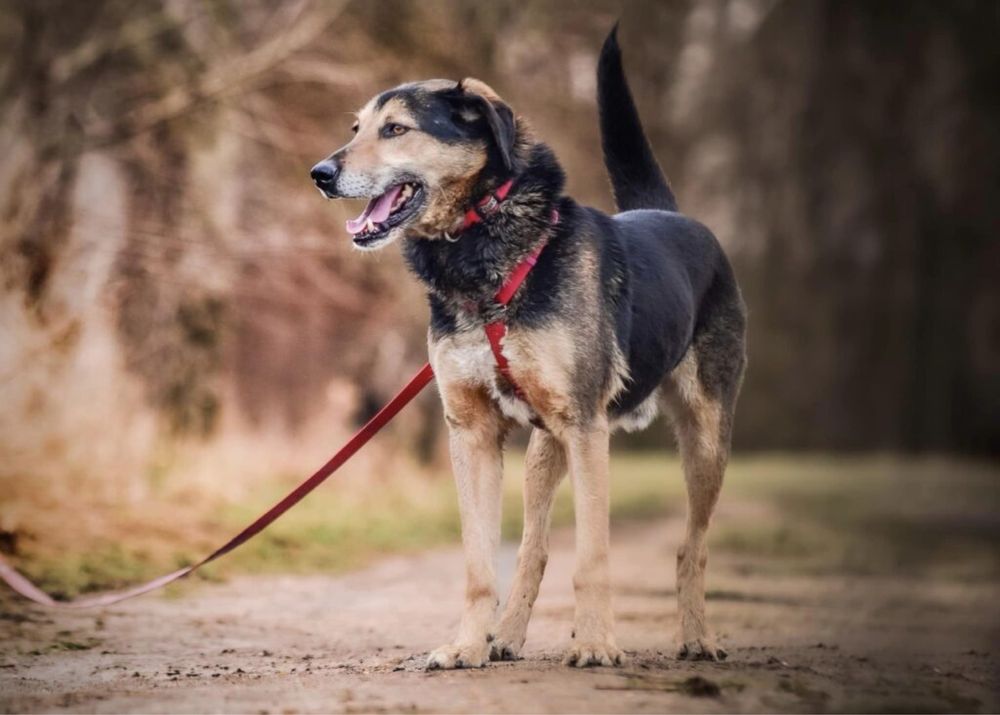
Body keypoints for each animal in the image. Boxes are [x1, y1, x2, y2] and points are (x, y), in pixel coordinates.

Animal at [308, 23, 748, 672]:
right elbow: (477, 564)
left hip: (704, 438)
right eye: (355, 128)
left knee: (691, 545)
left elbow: (593, 556)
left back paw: (697, 637)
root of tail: (671, 214)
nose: (319, 173)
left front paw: (595, 644)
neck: (480, 254)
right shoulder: (472, 433)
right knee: (533, 550)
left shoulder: (586, 428)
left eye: (396, 129)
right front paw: (467, 645)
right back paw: (507, 637)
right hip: (545, 451)